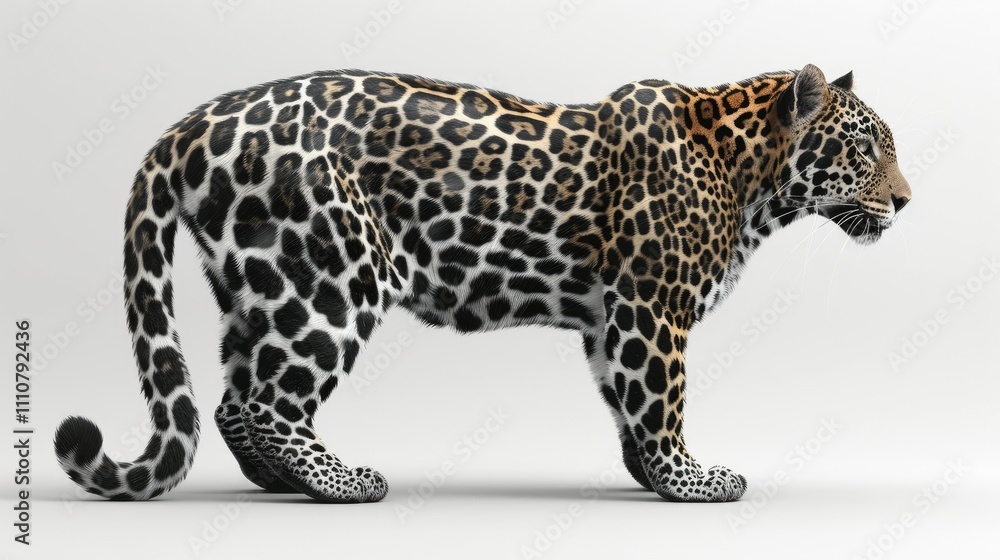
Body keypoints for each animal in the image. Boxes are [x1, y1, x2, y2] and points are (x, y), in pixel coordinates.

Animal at [54, 64, 911, 503]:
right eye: (865, 148)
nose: (906, 201)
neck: (753, 176)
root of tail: (191, 123)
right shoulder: (650, 305)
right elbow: (662, 400)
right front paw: (689, 478)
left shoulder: (611, 317)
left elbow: (626, 401)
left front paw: (648, 474)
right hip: (334, 276)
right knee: (269, 399)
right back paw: (340, 482)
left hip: (260, 281)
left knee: (235, 396)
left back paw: (276, 480)